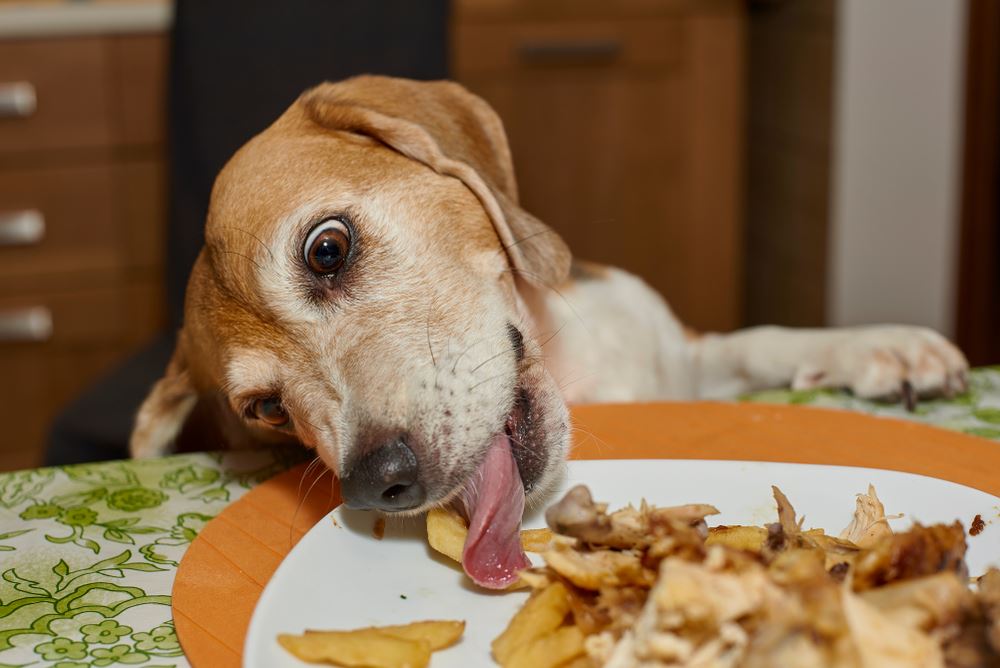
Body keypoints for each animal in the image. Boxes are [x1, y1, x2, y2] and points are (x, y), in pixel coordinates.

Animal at [129, 78, 972, 588]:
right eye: (266, 409)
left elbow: (764, 338)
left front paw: (885, 347)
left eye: (327, 249)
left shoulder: (682, 355)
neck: (575, 371)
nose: (377, 481)